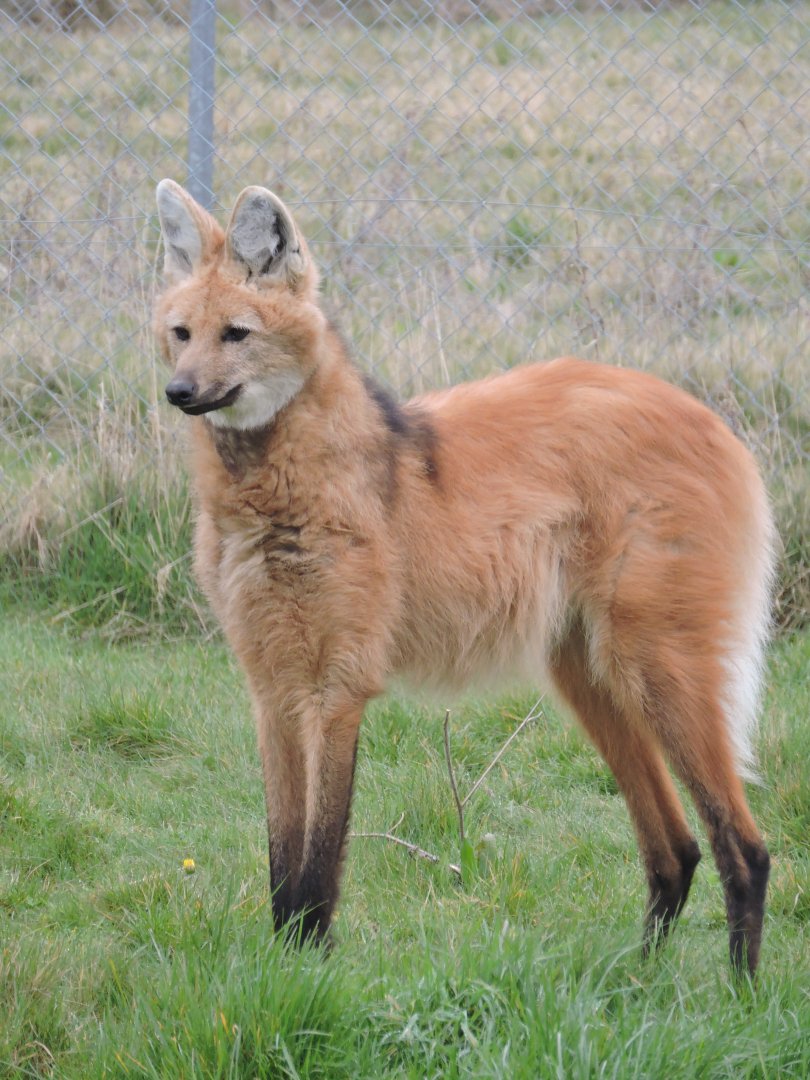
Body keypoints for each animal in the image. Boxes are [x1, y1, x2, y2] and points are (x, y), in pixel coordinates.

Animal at [155, 179, 775, 975]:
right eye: (180, 333)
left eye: (236, 334)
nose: (179, 391)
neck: (272, 493)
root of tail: (713, 419)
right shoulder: (273, 690)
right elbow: (280, 861)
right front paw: (284, 971)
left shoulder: (336, 688)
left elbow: (316, 863)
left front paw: (313, 977)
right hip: (588, 674)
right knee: (675, 846)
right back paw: (635, 982)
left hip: (657, 665)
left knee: (744, 848)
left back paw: (738, 993)